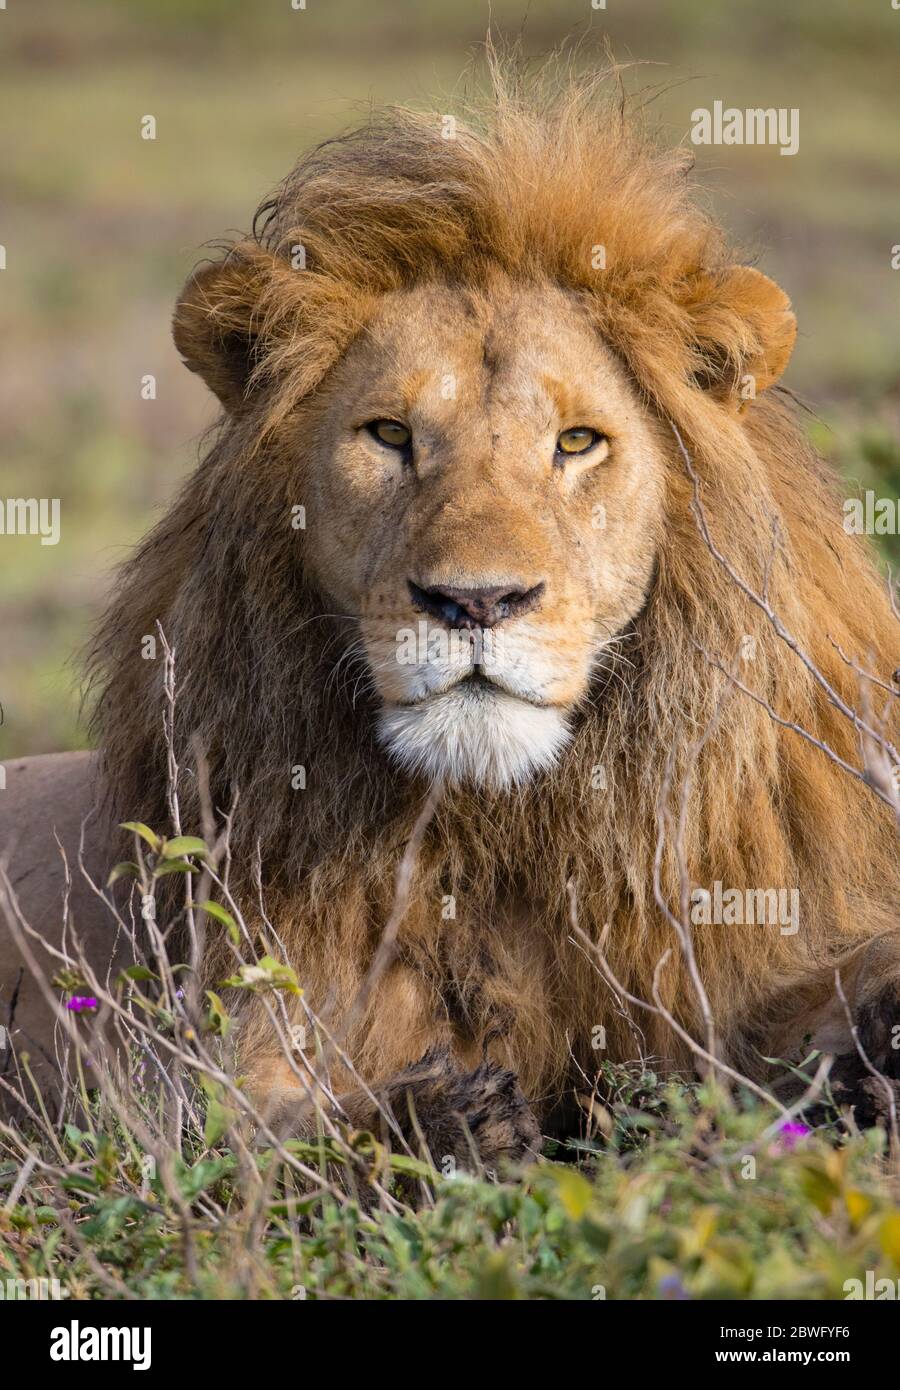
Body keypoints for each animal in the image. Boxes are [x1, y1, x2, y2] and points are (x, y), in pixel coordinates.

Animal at [1, 59, 898, 1165]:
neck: (497, 831)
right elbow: (259, 1142)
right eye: (389, 435)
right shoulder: (199, 1053)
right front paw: (453, 1121)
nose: (477, 600)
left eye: (576, 442)